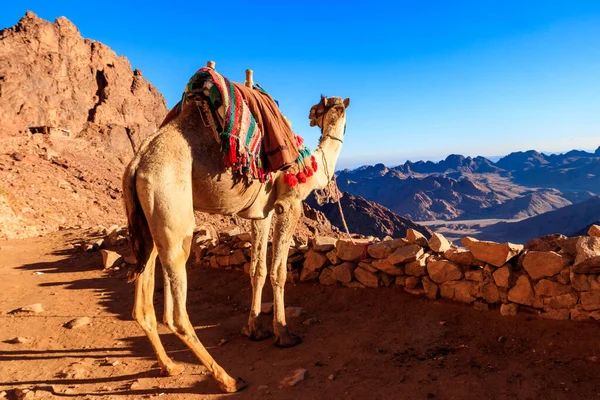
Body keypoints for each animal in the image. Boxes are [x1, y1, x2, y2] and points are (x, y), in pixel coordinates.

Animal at [122, 67, 350, 392]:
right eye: (327, 106)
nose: (310, 113)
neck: (313, 163)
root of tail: (137, 162)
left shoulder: (263, 213)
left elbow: (257, 269)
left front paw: (255, 330)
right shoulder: (289, 204)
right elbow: (279, 271)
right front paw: (283, 334)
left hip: (149, 226)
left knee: (143, 301)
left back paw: (169, 366)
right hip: (173, 216)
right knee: (176, 314)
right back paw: (227, 378)